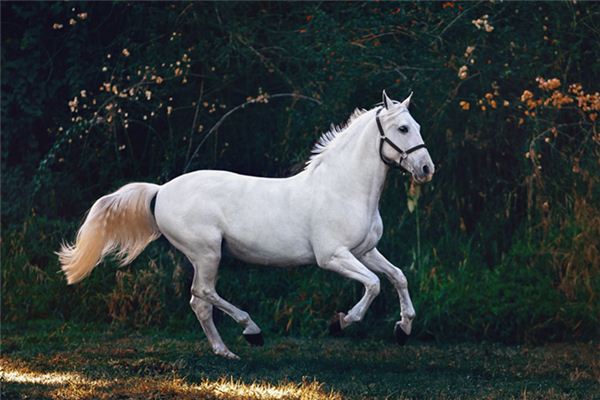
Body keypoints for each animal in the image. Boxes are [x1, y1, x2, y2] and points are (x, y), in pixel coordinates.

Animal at [58, 91, 434, 360]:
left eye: (417, 126)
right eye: (403, 128)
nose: (427, 169)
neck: (343, 188)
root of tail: (160, 191)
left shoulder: (365, 251)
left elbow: (397, 276)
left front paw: (403, 329)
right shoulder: (333, 257)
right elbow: (373, 285)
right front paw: (341, 322)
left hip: (205, 256)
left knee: (199, 302)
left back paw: (225, 351)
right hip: (207, 253)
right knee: (203, 293)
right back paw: (251, 331)